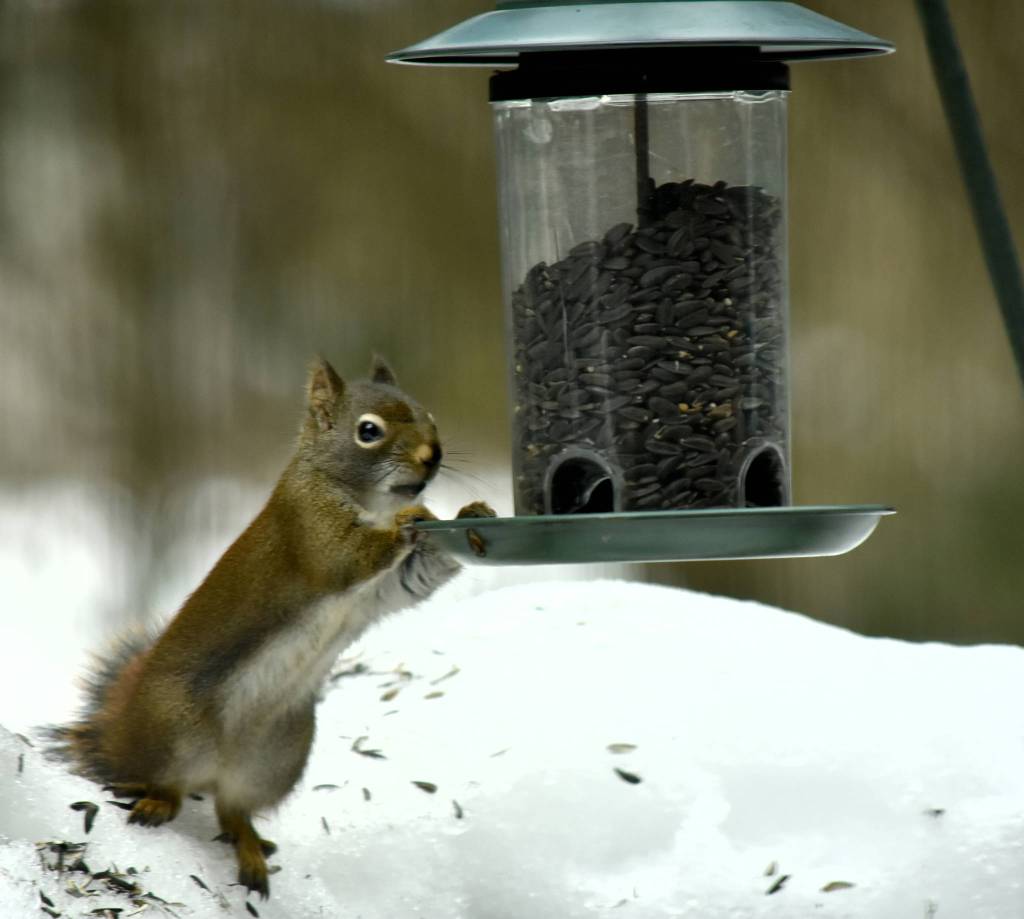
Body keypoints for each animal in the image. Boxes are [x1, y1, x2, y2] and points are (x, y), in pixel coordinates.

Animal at [45, 355, 494, 899]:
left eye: (429, 415)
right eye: (368, 431)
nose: (433, 455)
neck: (371, 499)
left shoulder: (389, 586)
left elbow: (415, 578)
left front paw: (473, 513)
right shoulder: (311, 530)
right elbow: (350, 555)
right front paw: (414, 517)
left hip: (278, 755)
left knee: (230, 808)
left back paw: (249, 849)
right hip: (175, 727)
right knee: (170, 782)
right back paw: (158, 803)